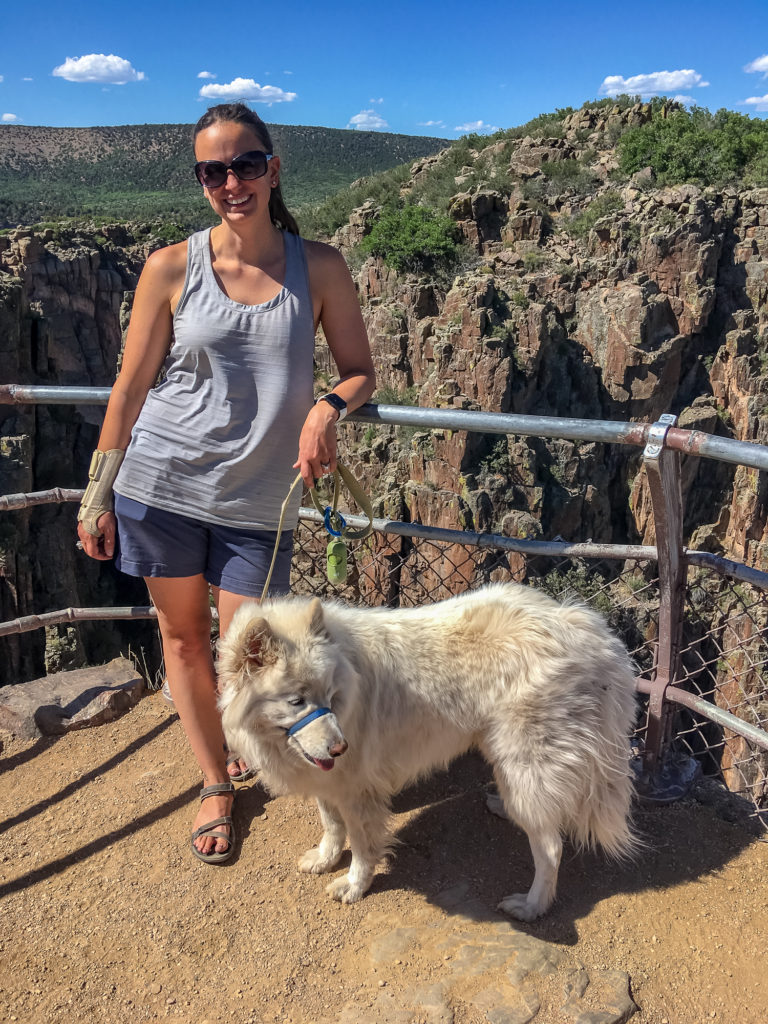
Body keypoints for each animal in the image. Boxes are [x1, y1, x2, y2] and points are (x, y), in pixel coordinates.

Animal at [217, 585, 638, 921]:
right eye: (297, 702)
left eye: (330, 697)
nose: (341, 747)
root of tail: (590, 630)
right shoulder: (329, 778)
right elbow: (331, 826)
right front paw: (324, 859)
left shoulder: (358, 791)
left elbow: (362, 847)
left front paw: (354, 885)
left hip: (524, 764)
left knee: (550, 845)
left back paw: (532, 906)